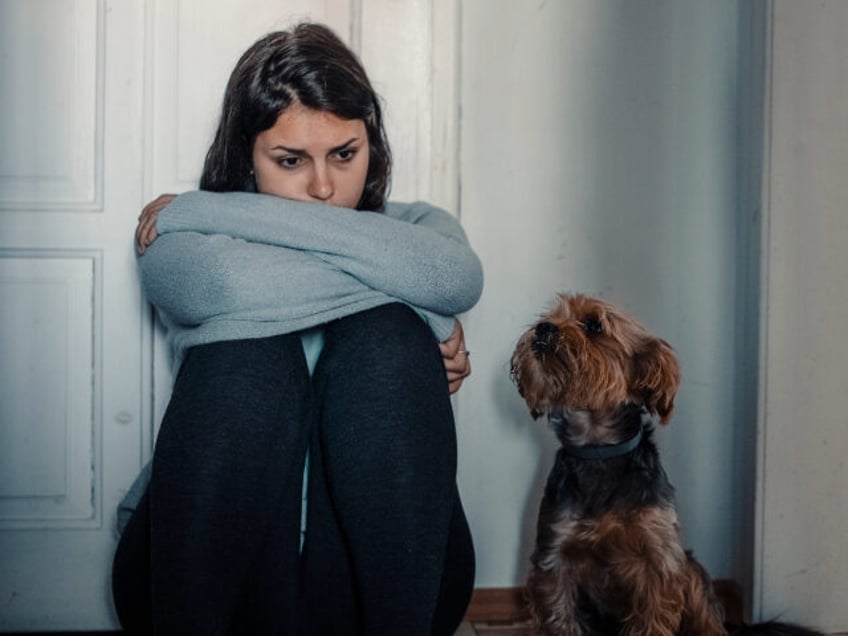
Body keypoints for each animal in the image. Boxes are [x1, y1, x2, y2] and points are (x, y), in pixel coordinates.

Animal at [510, 294, 820, 636]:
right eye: (550, 316)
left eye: (593, 325)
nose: (542, 328)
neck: (599, 451)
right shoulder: (555, 558)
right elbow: (561, 617)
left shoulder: (657, 560)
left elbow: (652, 617)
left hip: (692, 571)